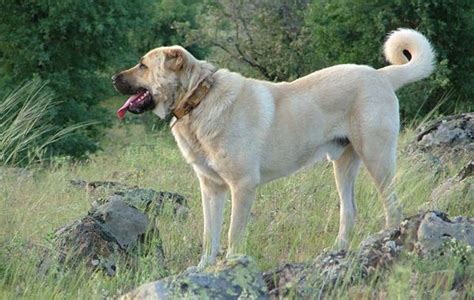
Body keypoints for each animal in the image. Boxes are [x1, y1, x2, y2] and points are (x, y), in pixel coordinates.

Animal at [111, 28, 434, 270]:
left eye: (143, 65)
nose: (113, 78)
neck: (198, 99)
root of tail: (381, 75)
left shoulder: (242, 186)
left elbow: (233, 233)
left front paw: (232, 265)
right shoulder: (211, 189)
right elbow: (209, 235)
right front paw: (204, 269)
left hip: (377, 159)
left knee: (392, 207)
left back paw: (386, 239)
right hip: (343, 166)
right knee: (349, 212)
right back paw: (336, 252)